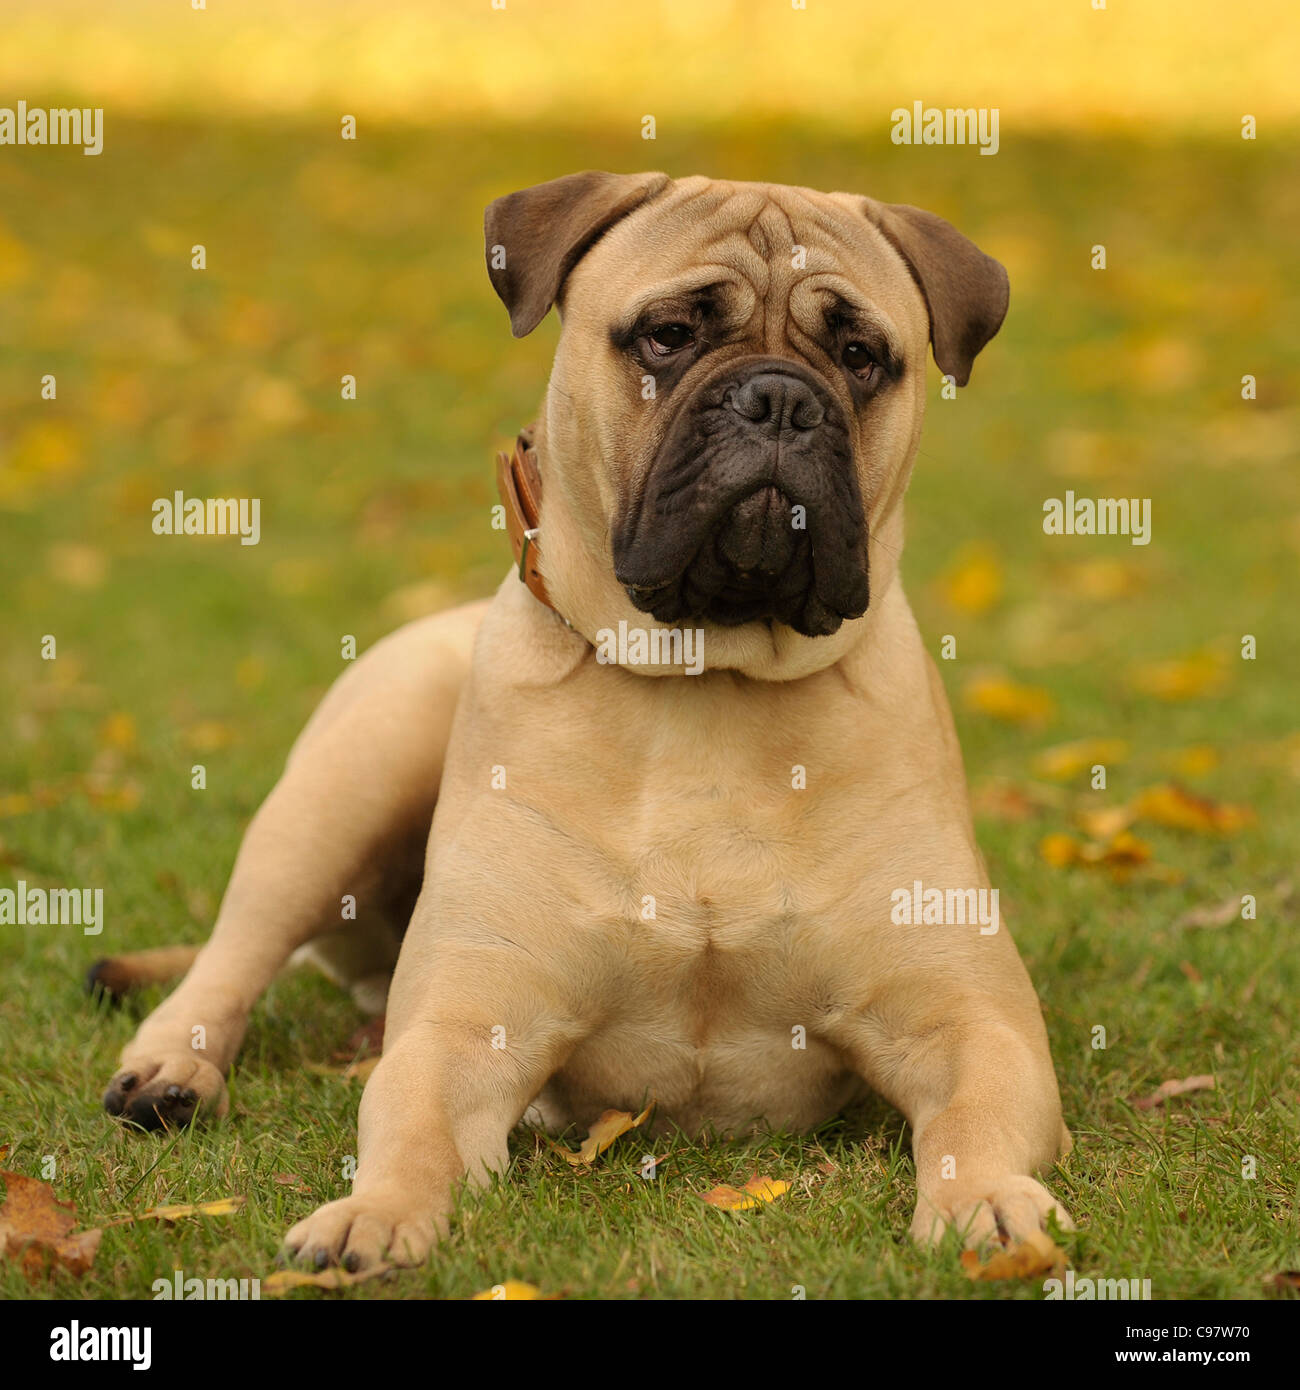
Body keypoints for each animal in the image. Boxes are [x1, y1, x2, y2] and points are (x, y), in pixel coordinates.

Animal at [96, 173, 1073, 1273]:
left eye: (861, 356)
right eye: (668, 334)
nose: (779, 399)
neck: (708, 678)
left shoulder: (968, 1020)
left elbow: (972, 1113)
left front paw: (986, 1196)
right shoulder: (468, 1025)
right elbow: (409, 1120)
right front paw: (373, 1210)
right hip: (341, 784)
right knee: (235, 953)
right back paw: (171, 1067)